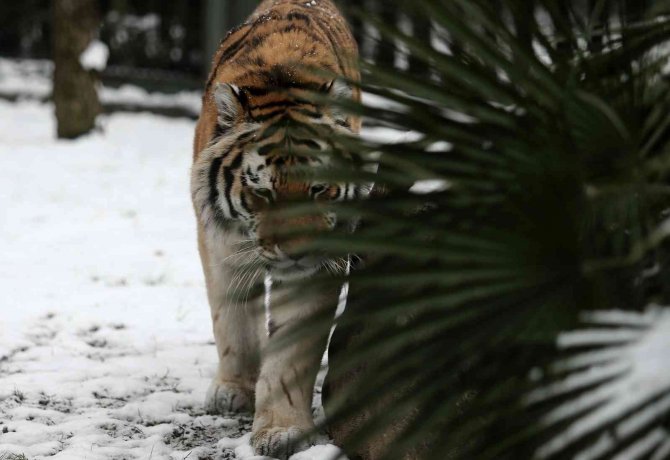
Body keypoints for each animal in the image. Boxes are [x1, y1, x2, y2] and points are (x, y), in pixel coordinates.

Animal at [192, 0, 362, 456]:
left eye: (320, 188)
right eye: (262, 192)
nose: (298, 252)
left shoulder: (319, 265)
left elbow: (291, 353)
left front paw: (280, 430)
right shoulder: (221, 244)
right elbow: (232, 321)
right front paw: (233, 390)